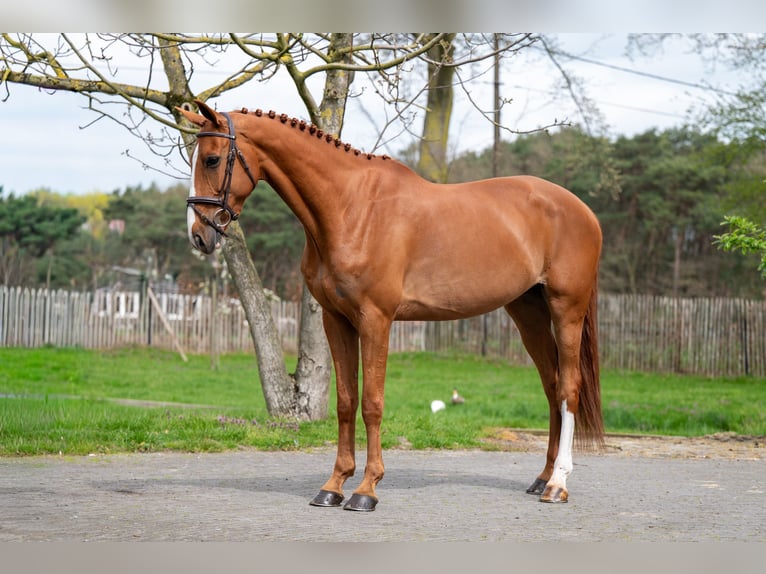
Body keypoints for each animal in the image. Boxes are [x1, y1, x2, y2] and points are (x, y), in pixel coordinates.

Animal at [180, 100, 604, 510]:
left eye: (212, 159)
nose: (198, 235)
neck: (352, 208)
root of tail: (583, 210)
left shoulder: (376, 319)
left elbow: (372, 403)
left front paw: (366, 489)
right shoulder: (336, 320)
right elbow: (346, 402)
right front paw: (333, 486)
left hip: (566, 309)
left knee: (568, 389)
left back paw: (558, 484)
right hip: (527, 312)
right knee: (552, 387)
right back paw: (542, 478)